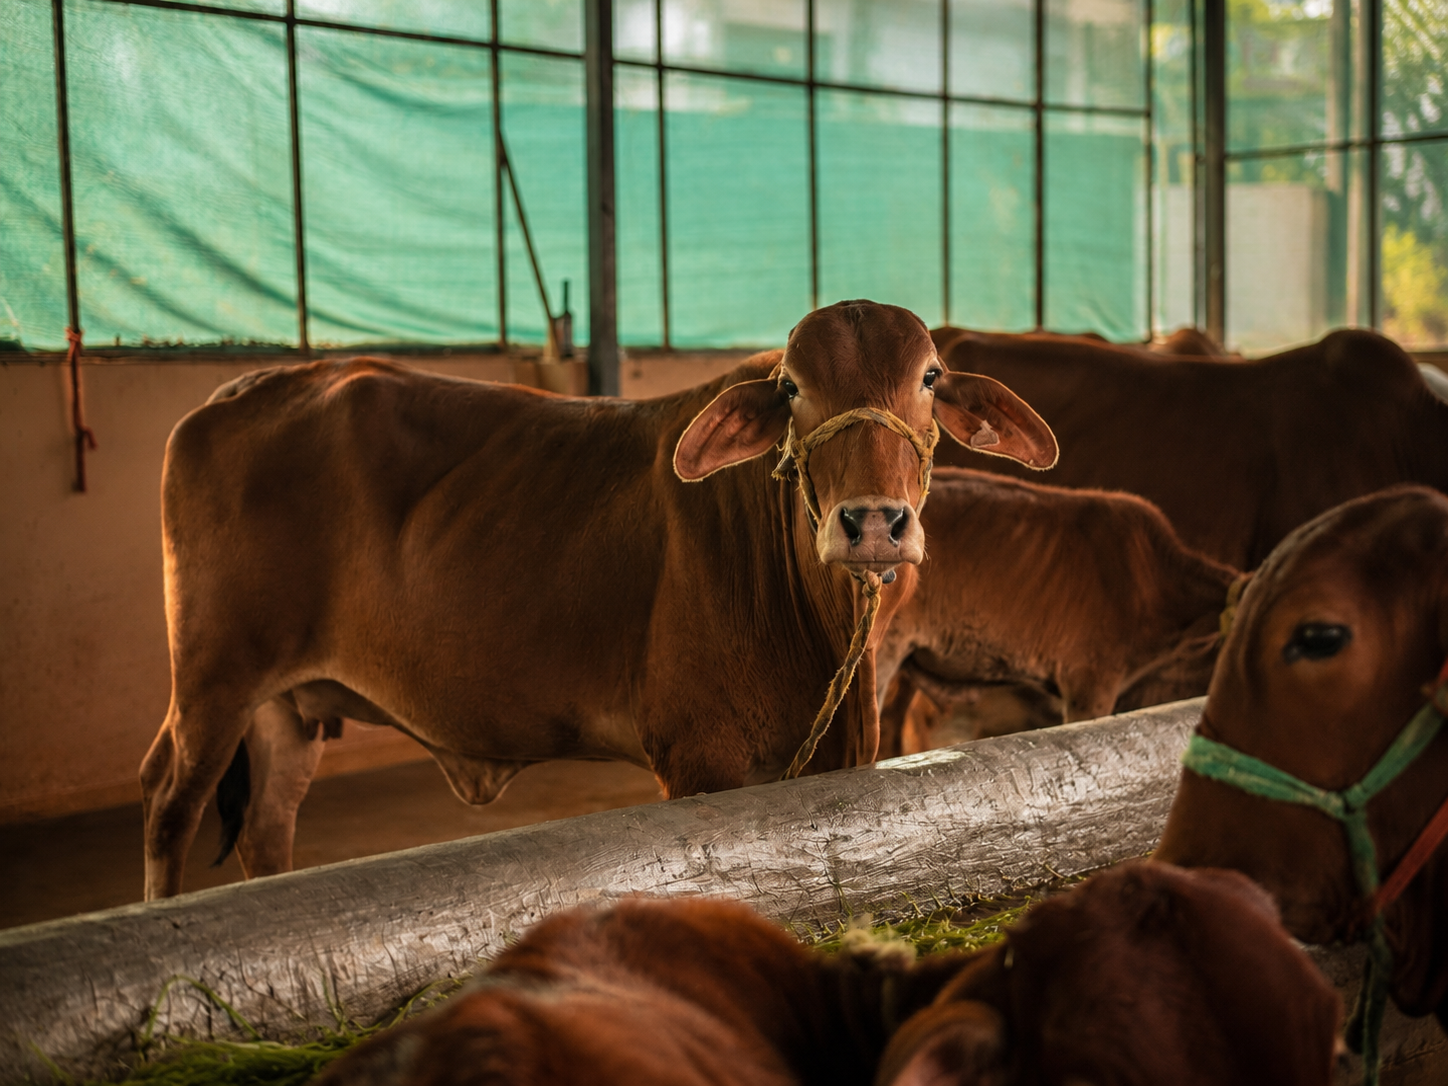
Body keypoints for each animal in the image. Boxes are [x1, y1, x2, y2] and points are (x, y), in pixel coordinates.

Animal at [139, 300, 1058, 899]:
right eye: (793, 387)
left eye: (930, 377)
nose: (873, 523)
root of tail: (241, 389)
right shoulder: (699, 761)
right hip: (214, 680)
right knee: (168, 806)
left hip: (285, 706)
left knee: (265, 830)